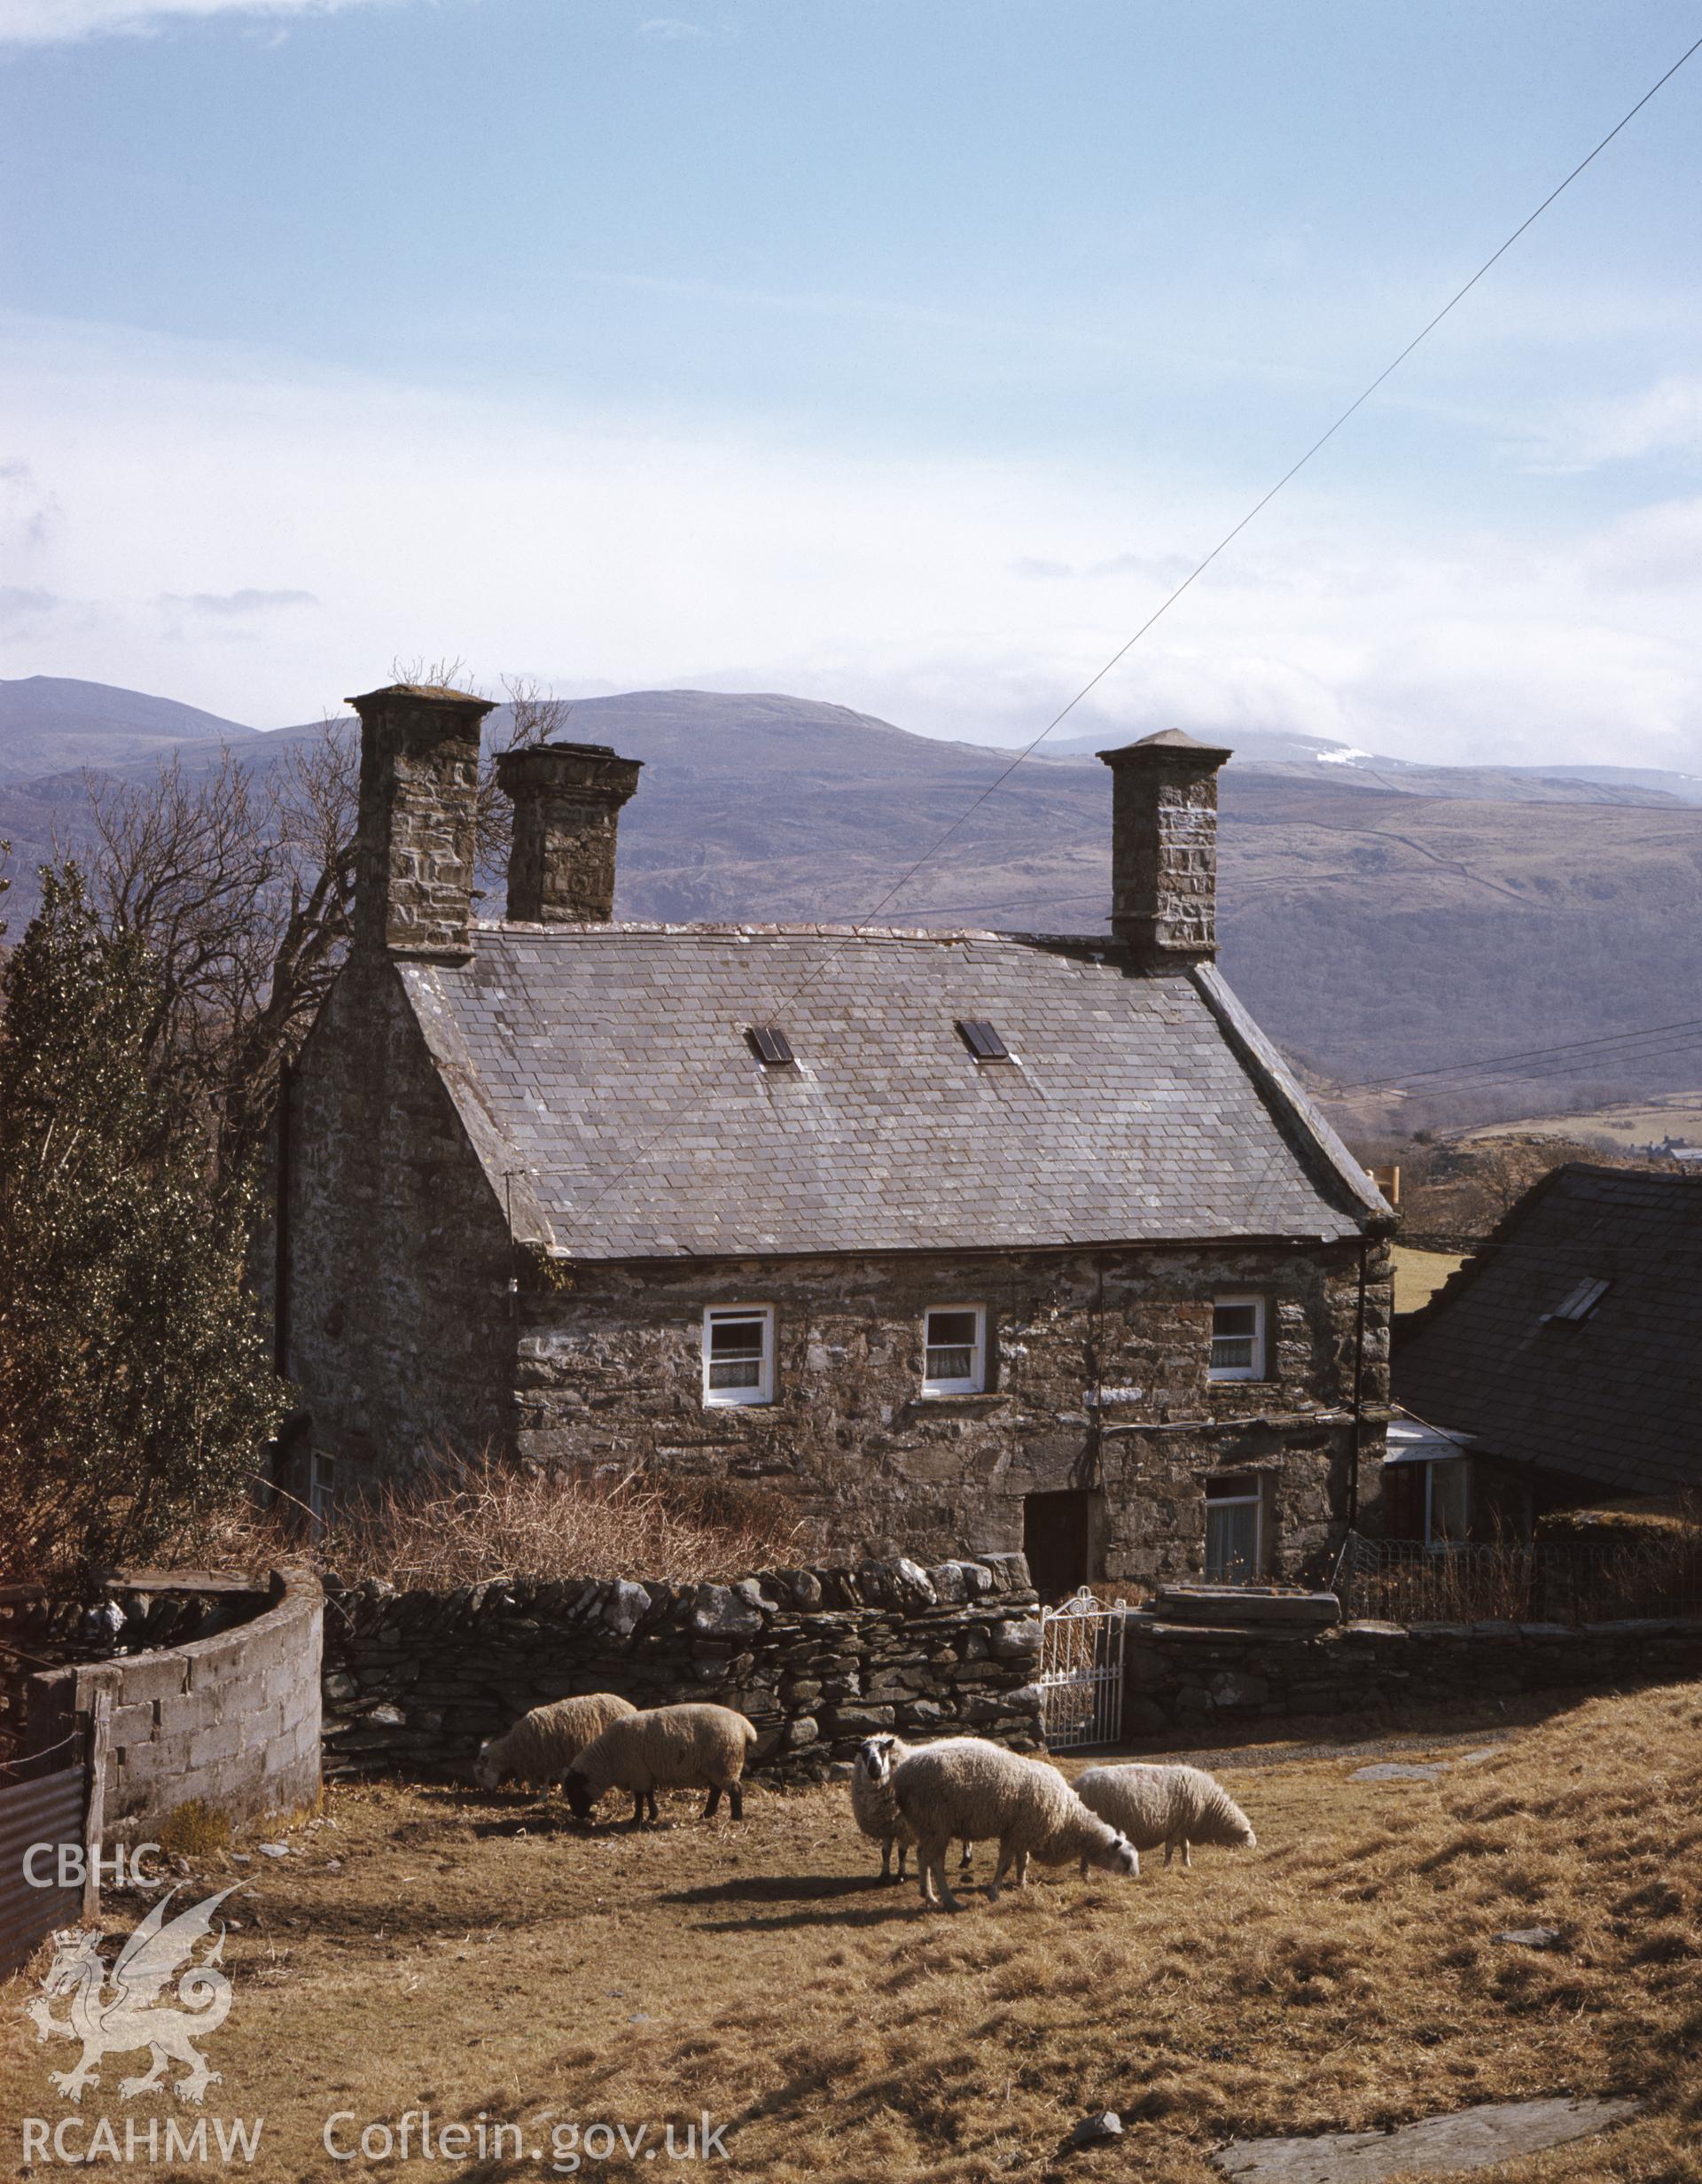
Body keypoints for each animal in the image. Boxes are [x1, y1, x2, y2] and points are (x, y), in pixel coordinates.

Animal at [563, 1703, 755, 1825]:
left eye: (575, 1790)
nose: (578, 1815)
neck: (608, 1759)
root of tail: (745, 1727)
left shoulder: (638, 1772)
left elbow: (640, 1797)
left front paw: (636, 1819)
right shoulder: (645, 1773)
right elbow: (648, 1794)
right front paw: (653, 1815)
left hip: (726, 1762)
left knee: (735, 1789)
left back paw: (736, 1817)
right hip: (719, 1765)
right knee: (717, 1790)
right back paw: (706, 1814)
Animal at [891, 1738, 1144, 1913]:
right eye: (1125, 1860)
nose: (1135, 1879)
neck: (1067, 1818)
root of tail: (901, 1775)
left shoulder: (1024, 1833)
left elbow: (1024, 1861)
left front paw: (1021, 1884)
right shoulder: (1015, 1833)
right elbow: (1005, 1864)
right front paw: (994, 1893)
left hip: (926, 1825)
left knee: (923, 1856)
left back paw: (927, 1894)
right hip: (937, 1823)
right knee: (935, 1861)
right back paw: (947, 1900)